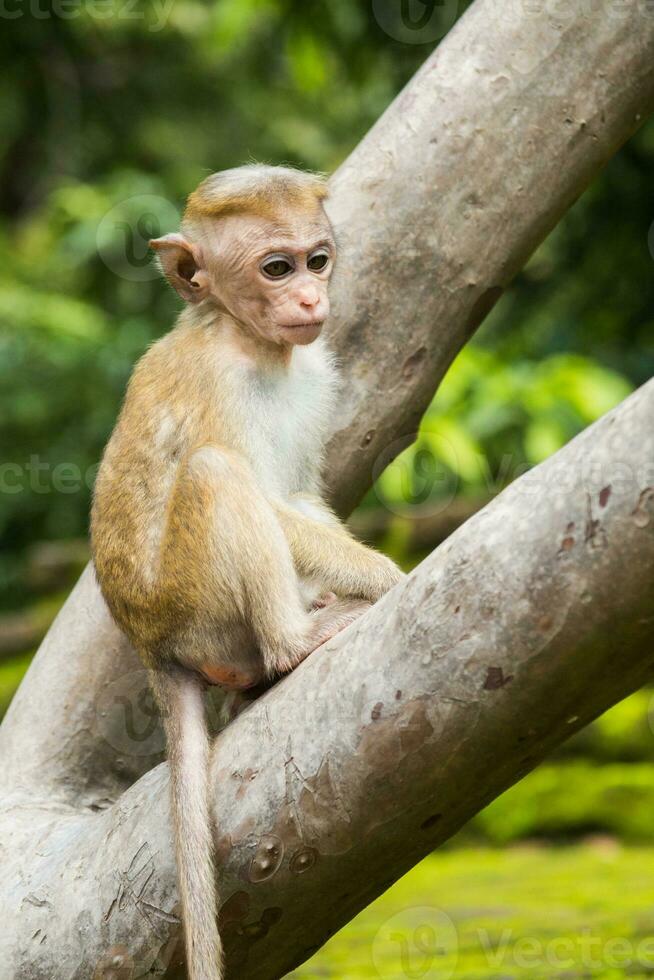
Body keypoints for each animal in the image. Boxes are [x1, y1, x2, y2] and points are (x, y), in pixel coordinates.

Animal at [89, 165, 408, 976]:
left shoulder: (315, 371)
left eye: (317, 260)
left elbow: (298, 495)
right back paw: (294, 643)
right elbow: (265, 497)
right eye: (275, 268)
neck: (247, 340)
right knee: (214, 471)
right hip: (195, 613)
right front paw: (389, 579)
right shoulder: (217, 383)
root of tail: (153, 649)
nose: (311, 299)